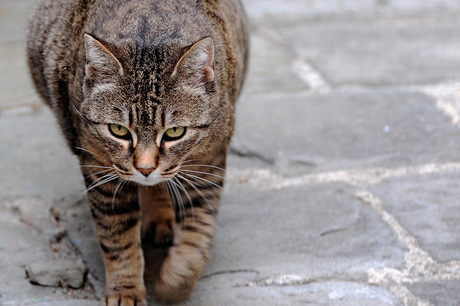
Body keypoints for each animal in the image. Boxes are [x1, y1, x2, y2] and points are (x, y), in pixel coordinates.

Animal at [25, 0, 248, 304]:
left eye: (174, 133)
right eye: (118, 130)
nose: (145, 168)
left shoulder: (208, 164)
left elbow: (198, 231)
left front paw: (176, 281)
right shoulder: (99, 168)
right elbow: (118, 238)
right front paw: (126, 291)